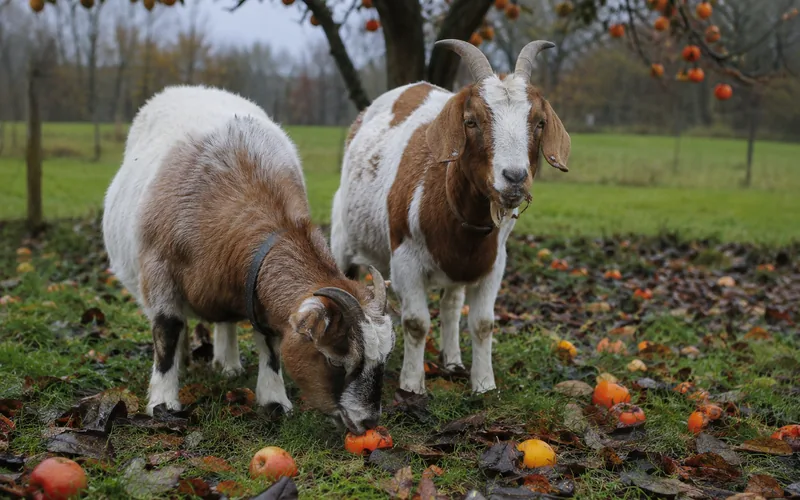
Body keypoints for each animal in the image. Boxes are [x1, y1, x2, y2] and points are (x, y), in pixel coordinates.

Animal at [102, 85, 395, 435]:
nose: (368, 421)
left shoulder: (254, 290)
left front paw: (274, 400)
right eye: (335, 360)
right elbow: (167, 330)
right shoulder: (158, 270)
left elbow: (269, 342)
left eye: (384, 358)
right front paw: (163, 402)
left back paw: (227, 364)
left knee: (225, 320)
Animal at [330, 40, 571, 396]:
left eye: (539, 122)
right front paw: (412, 385)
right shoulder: (405, 260)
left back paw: (453, 361)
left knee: (452, 304)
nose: (514, 177)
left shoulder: (492, 263)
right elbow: (416, 323)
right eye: (471, 121)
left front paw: (483, 384)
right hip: (343, 237)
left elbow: (483, 324)